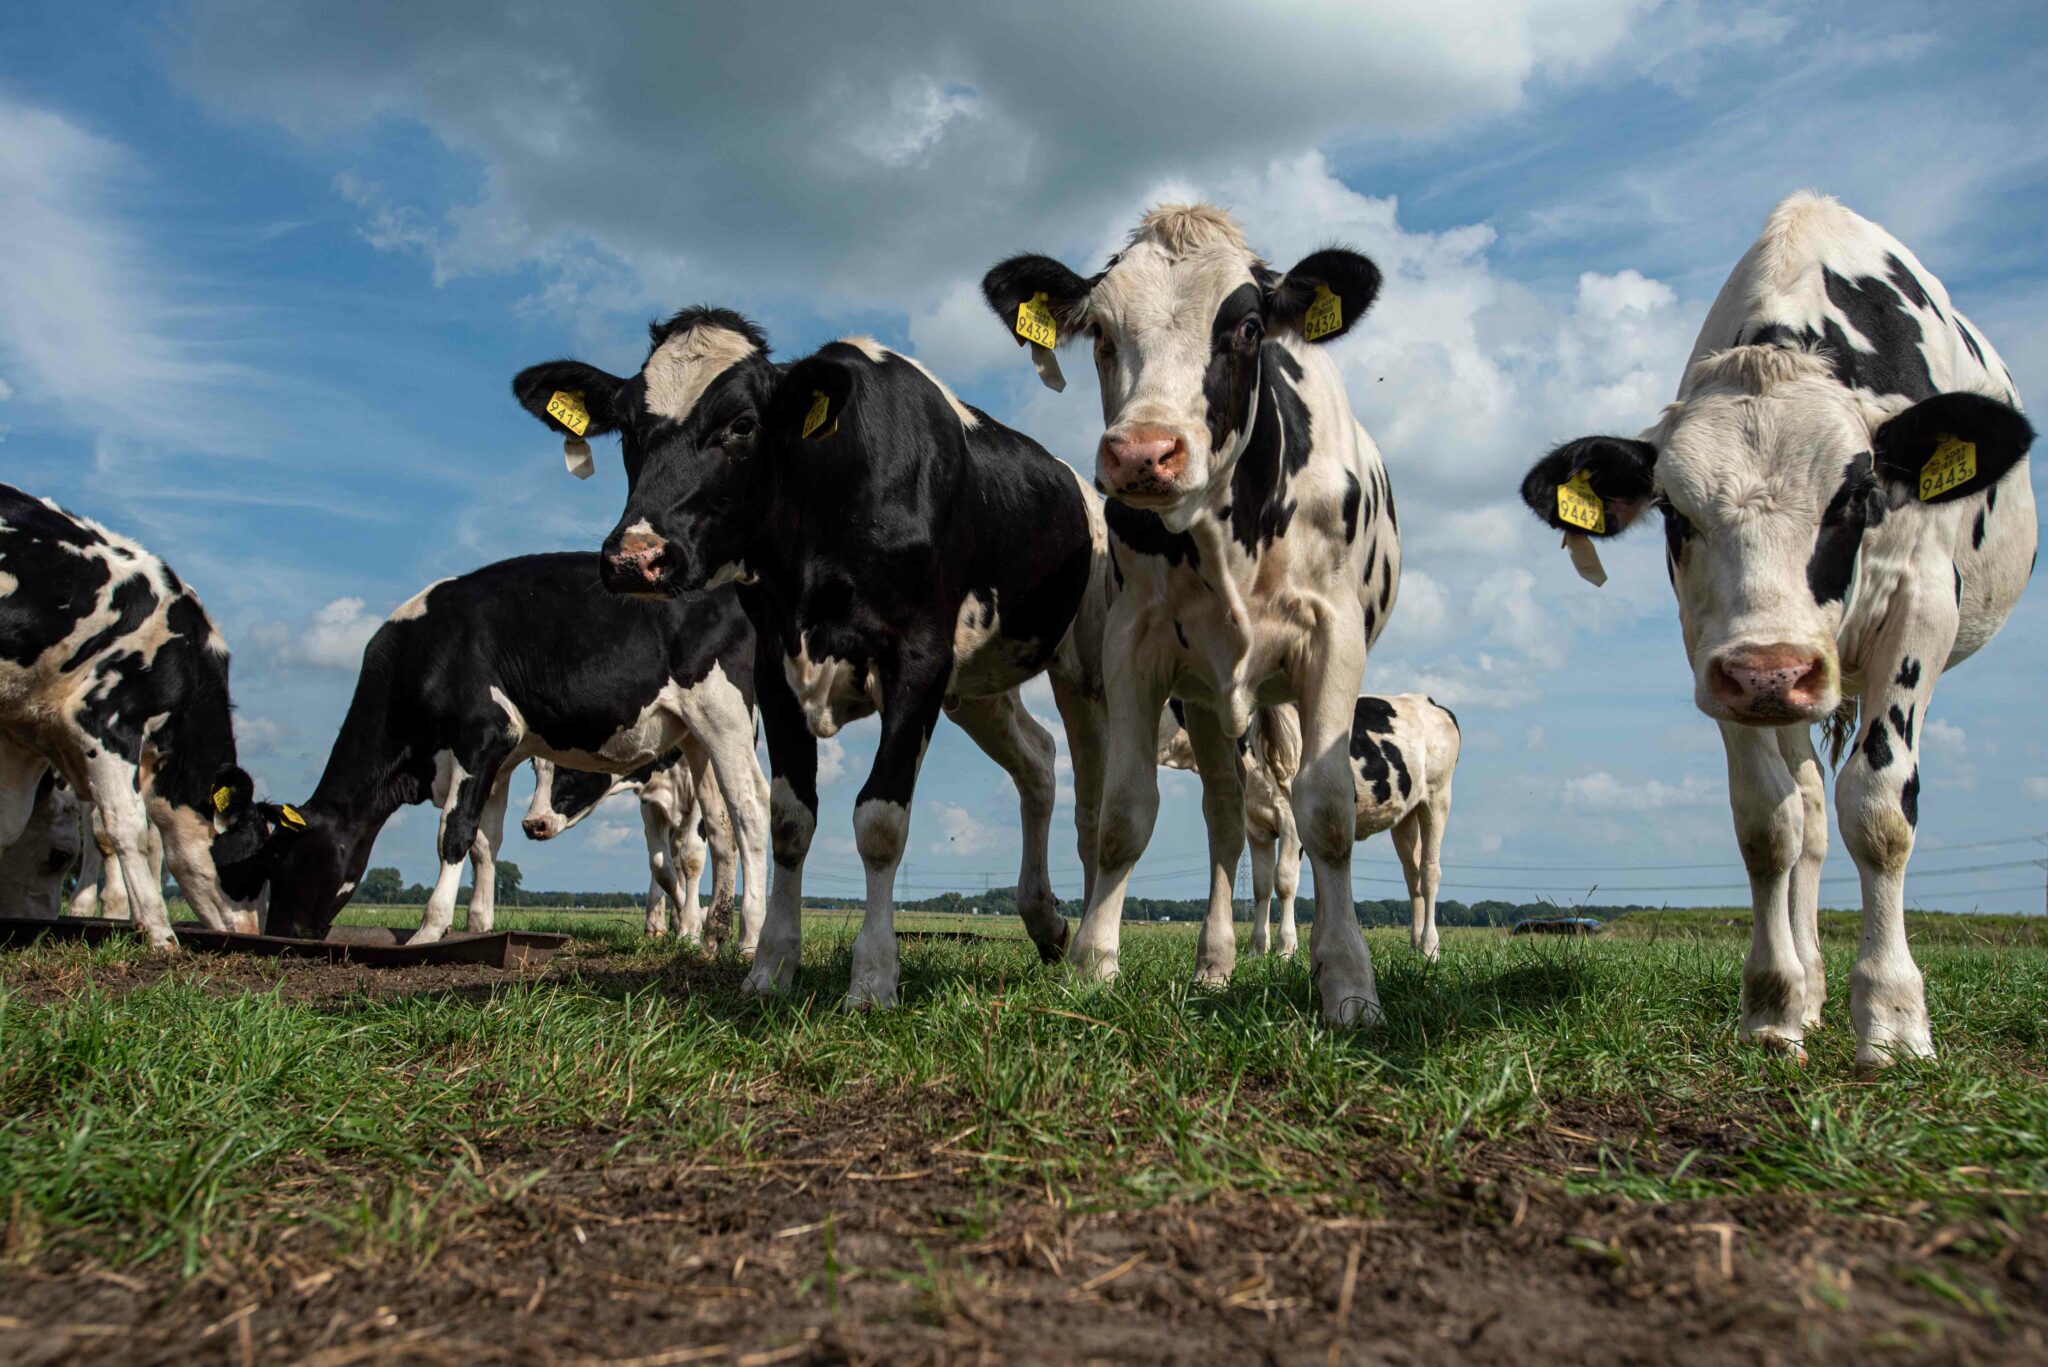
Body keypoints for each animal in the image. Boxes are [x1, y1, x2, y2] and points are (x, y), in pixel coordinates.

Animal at [0, 484, 269, 946]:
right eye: (251, 866)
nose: (252, 934)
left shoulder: (18, 737)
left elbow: (7, 824)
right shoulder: (105, 719)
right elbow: (128, 827)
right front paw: (159, 931)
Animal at [523, 755, 740, 941]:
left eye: (570, 766)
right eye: (533, 765)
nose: (532, 824)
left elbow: (692, 857)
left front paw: (691, 926)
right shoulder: (651, 801)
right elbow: (662, 868)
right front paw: (691, 917)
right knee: (671, 854)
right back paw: (658, 923)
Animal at [983, 204, 1399, 1023]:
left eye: (1247, 327)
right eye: (1101, 330)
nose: (1144, 453)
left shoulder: (1332, 641)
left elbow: (1329, 814)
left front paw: (1348, 981)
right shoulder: (1132, 646)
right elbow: (1122, 816)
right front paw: (1093, 962)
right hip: (1208, 696)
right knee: (1224, 817)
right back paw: (1215, 963)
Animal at [1160, 693, 1460, 960]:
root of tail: (1427, 701)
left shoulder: (1290, 821)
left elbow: (1283, 880)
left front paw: (1285, 949)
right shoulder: (1256, 827)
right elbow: (1261, 886)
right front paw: (1257, 950)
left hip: (1437, 798)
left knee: (1429, 872)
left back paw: (1430, 948)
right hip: (1405, 816)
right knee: (1413, 877)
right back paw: (1416, 945)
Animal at [1517, 192, 2035, 1068]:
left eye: (1856, 496)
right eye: (1674, 512)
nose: (1772, 671)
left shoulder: (1923, 608)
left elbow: (1882, 807)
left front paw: (1892, 1015)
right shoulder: (1712, 654)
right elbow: (1769, 824)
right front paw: (1773, 1002)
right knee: (1810, 817)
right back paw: (1812, 985)